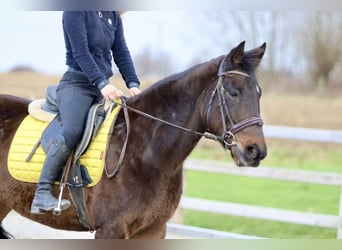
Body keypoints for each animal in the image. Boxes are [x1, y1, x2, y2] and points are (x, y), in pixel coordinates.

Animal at [0, 42, 268, 239]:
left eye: (258, 94)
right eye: (233, 93)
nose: (255, 151)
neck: (147, 150)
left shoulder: (153, 231)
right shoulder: (111, 231)